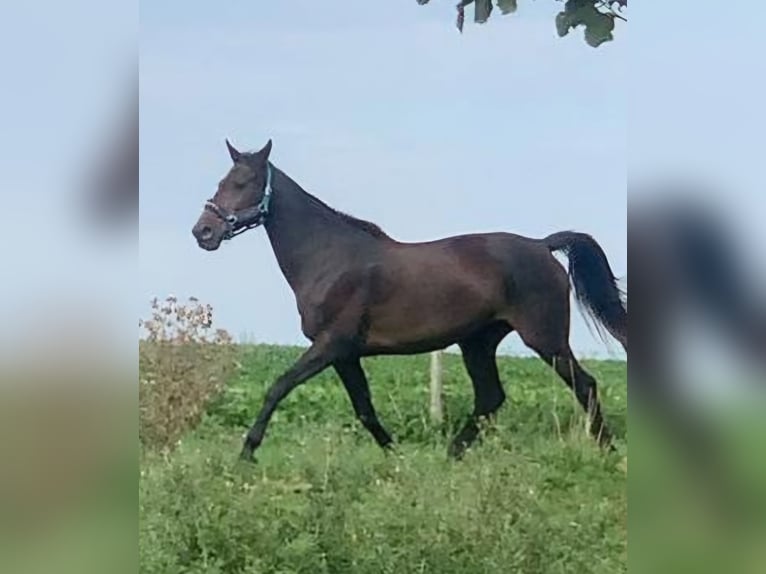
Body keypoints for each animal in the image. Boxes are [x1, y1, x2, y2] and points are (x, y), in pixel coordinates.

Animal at [192, 141, 632, 464]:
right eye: (223, 180)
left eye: (244, 181)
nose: (203, 231)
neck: (329, 258)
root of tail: (542, 246)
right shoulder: (345, 354)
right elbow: (364, 408)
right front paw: (395, 456)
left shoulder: (331, 344)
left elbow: (278, 386)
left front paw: (246, 453)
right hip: (478, 342)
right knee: (491, 398)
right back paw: (451, 455)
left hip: (545, 338)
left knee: (584, 384)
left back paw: (607, 450)